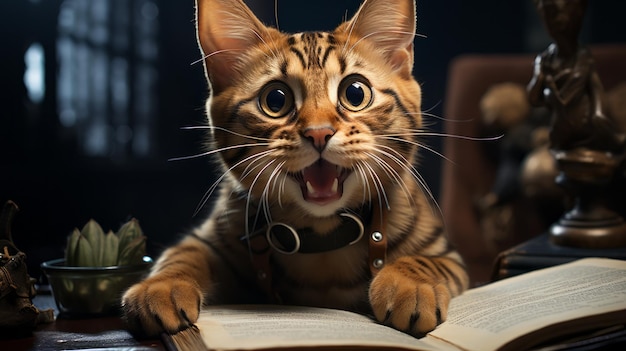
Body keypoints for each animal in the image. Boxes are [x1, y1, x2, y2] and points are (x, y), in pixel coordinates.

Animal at [122, 0, 466, 338]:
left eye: (355, 93)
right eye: (275, 100)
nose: (319, 133)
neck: (322, 234)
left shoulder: (449, 256)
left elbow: (422, 261)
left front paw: (410, 283)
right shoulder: (215, 236)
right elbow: (183, 253)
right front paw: (160, 285)